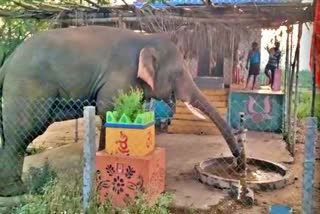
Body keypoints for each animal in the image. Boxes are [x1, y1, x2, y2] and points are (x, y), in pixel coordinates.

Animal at [0, 25, 240, 196]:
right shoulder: (120, 76)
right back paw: (16, 191)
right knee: (22, 134)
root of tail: (8, 61)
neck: (146, 39)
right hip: (27, 87)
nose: (239, 163)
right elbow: (107, 107)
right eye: (178, 73)